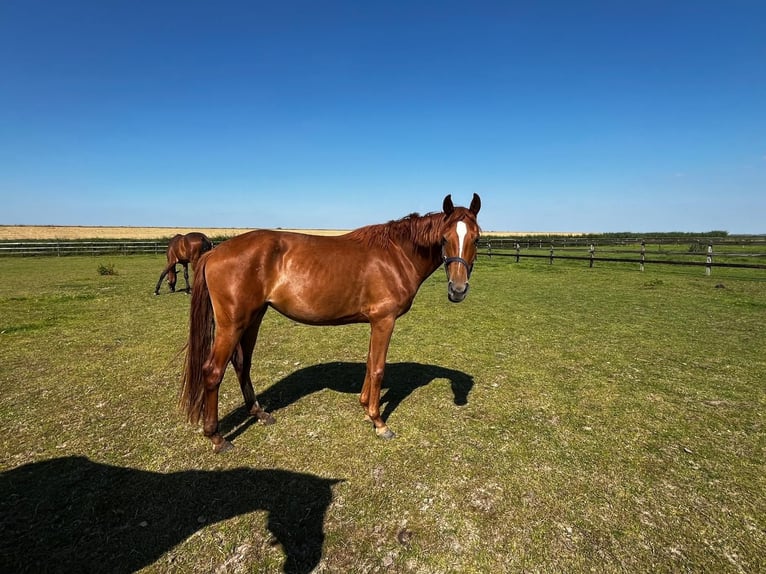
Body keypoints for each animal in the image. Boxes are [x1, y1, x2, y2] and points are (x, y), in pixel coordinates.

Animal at [180, 196, 480, 452]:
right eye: (444, 238)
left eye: (476, 238)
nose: (458, 290)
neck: (396, 255)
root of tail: (215, 252)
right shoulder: (384, 320)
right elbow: (378, 368)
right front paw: (379, 423)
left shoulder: (375, 322)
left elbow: (370, 363)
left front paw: (364, 407)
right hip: (232, 324)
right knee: (213, 371)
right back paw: (217, 437)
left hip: (253, 318)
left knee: (242, 363)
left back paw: (259, 413)